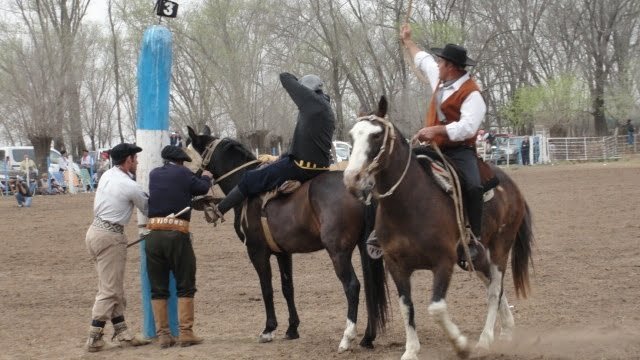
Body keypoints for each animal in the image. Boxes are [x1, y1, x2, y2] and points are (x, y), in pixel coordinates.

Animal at [185, 126, 390, 352]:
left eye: (188, 154)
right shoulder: (283, 253)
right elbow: (287, 288)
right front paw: (292, 328)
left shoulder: (257, 252)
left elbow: (266, 288)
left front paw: (268, 329)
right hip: (364, 248)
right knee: (371, 287)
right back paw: (367, 337)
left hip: (338, 252)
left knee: (352, 286)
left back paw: (347, 338)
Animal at [342, 96, 532, 360]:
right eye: (352, 135)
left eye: (377, 135)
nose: (352, 179)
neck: (409, 204)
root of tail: (513, 187)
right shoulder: (395, 265)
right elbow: (406, 306)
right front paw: (411, 350)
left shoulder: (444, 262)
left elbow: (436, 308)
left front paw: (461, 345)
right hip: (476, 256)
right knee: (492, 284)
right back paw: (506, 330)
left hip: (501, 246)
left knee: (494, 289)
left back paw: (485, 341)